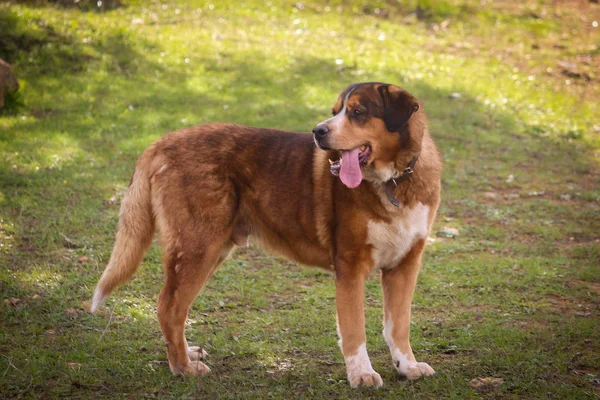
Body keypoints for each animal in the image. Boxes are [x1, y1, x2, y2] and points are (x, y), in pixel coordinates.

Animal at [91, 82, 442, 388]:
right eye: (336, 111)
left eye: (358, 112)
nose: (318, 131)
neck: (393, 181)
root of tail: (159, 143)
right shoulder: (350, 266)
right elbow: (355, 329)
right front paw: (362, 375)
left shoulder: (404, 266)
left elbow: (398, 325)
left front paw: (407, 366)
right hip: (198, 248)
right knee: (169, 307)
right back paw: (183, 368)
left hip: (210, 250)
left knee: (174, 310)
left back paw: (186, 354)